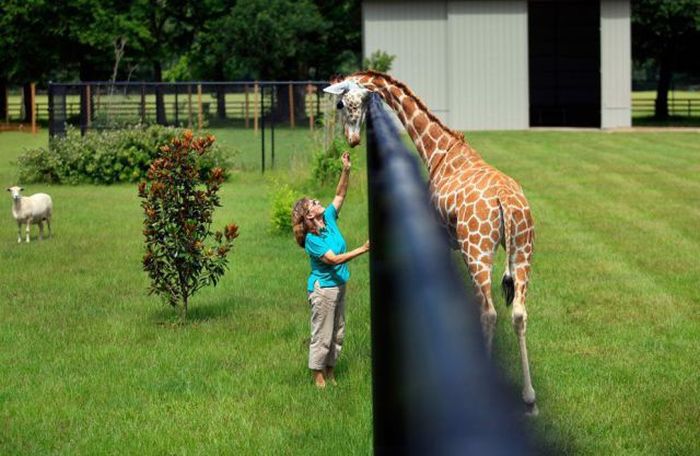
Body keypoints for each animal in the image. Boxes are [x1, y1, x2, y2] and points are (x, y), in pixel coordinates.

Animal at [326, 70, 540, 414]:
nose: (353, 140)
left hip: (478, 248)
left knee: (490, 312)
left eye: (342, 104)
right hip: (522, 250)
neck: (438, 151)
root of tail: (506, 203)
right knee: (519, 313)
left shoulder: (443, 238)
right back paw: (529, 399)